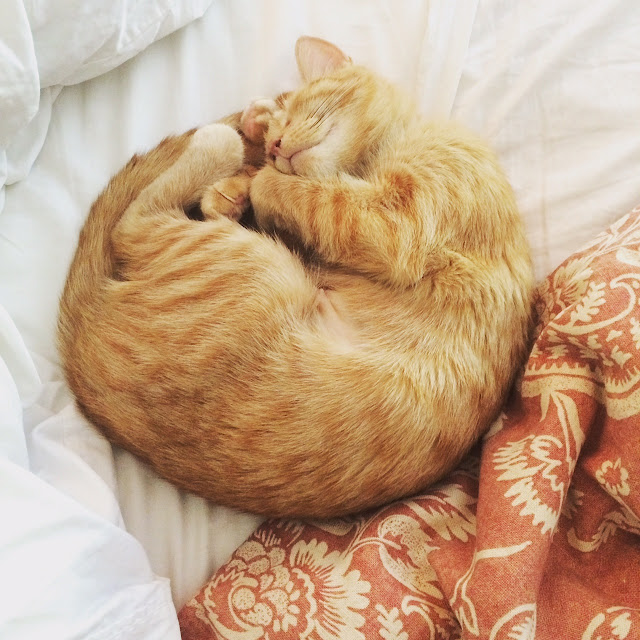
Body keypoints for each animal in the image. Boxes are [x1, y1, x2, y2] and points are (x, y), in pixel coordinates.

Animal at [58, 36, 534, 518]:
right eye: (276, 136)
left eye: (296, 115)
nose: (275, 144)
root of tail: (80, 352)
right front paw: (244, 163)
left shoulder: (393, 222)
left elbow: (302, 195)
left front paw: (254, 173)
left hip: (258, 267)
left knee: (134, 222)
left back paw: (217, 143)